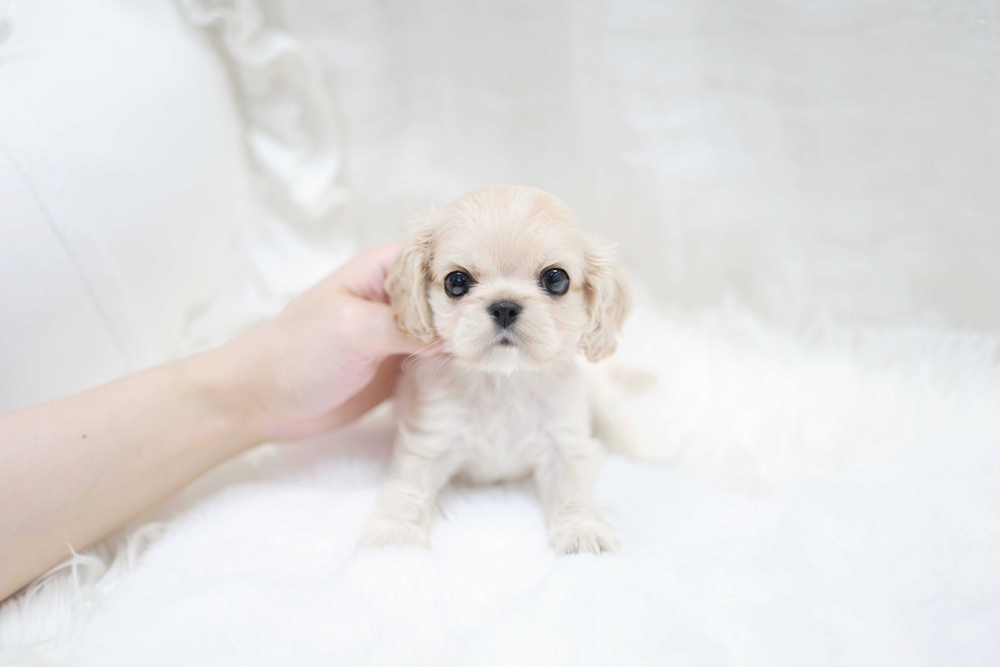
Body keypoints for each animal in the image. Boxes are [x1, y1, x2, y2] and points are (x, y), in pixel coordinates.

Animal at [362, 184, 632, 555]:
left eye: (556, 279)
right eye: (456, 282)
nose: (504, 306)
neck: (503, 381)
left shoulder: (565, 443)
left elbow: (573, 490)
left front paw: (582, 529)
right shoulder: (430, 440)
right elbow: (409, 486)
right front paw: (395, 534)